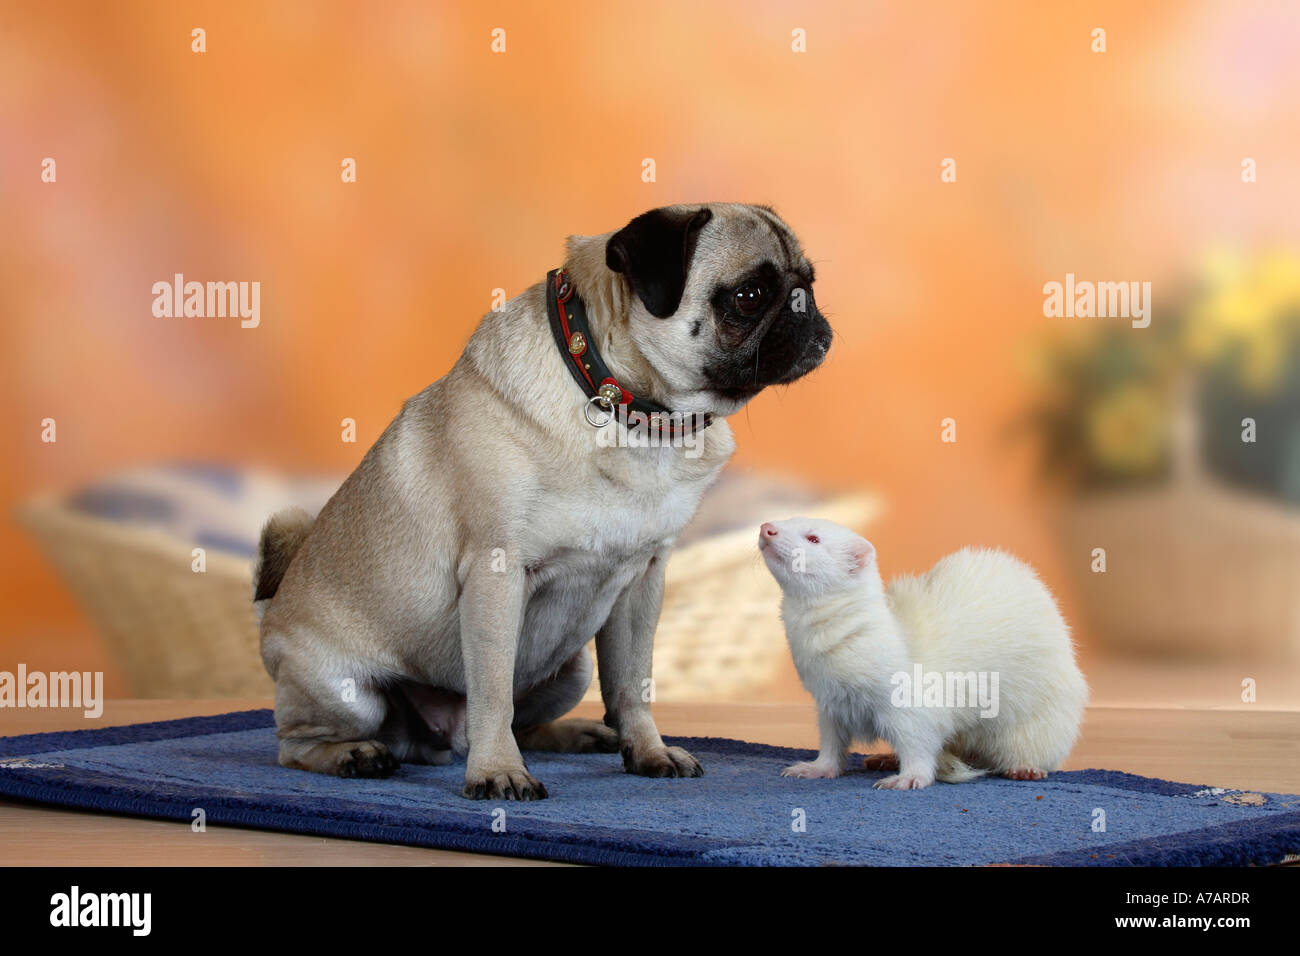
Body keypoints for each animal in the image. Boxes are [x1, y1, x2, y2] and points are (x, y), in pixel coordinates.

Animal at [253, 204, 832, 801]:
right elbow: (492, 692)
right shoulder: (496, 574)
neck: (629, 410)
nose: (807, 310)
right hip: (344, 692)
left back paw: (578, 733)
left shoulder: (644, 580)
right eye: (749, 295)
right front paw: (496, 771)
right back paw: (355, 754)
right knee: (293, 744)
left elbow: (633, 684)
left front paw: (647, 751)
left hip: (573, 666)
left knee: (531, 722)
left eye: (808, 282)